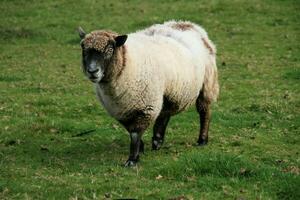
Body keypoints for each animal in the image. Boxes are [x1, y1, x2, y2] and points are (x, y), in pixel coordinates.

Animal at [77, 20, 218, 167]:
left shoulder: (146, 107)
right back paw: (157, 140)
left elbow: (135, 133)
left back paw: (202, 140)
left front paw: (132, 160)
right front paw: (141, 148)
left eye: (110, 49)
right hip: (167, 90)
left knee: (204, 111)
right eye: (84, 50)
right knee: (165, 112)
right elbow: (130, 130)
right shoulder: (121, 110)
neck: (127, 64)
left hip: (207, 82)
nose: (92, 71)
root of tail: (188, 24)